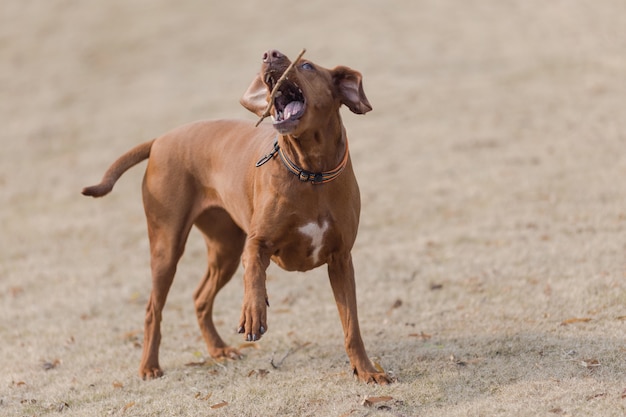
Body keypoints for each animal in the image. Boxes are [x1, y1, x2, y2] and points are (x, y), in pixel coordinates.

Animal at [80, 49, 388, 384]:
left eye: (306, 65)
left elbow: (351, 326)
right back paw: (149, 366)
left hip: (224, 249)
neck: (311, 173)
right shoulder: (257, 243)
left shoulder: (341, 259)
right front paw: (253, 312)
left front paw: (367, 370)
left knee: (200, 298)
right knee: (153, 309)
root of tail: (160, 140)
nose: (270, 54)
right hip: (167, 246)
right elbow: (253, 272)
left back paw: (218, 350)